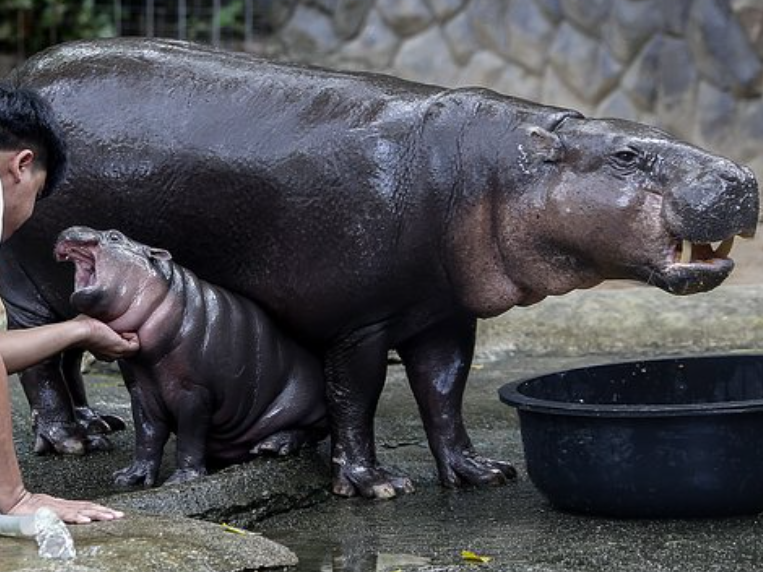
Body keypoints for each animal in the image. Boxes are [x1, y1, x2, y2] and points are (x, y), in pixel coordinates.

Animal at [55, 226, 326, 484]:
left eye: (114, 236)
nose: (67, 230)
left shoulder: (194, 392)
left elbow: (189, 436)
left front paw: (182, 479)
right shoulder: (140, 390)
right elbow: (147, 434)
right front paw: (130, 477)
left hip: (302, 403)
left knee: (312, 431)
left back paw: (272, 446)